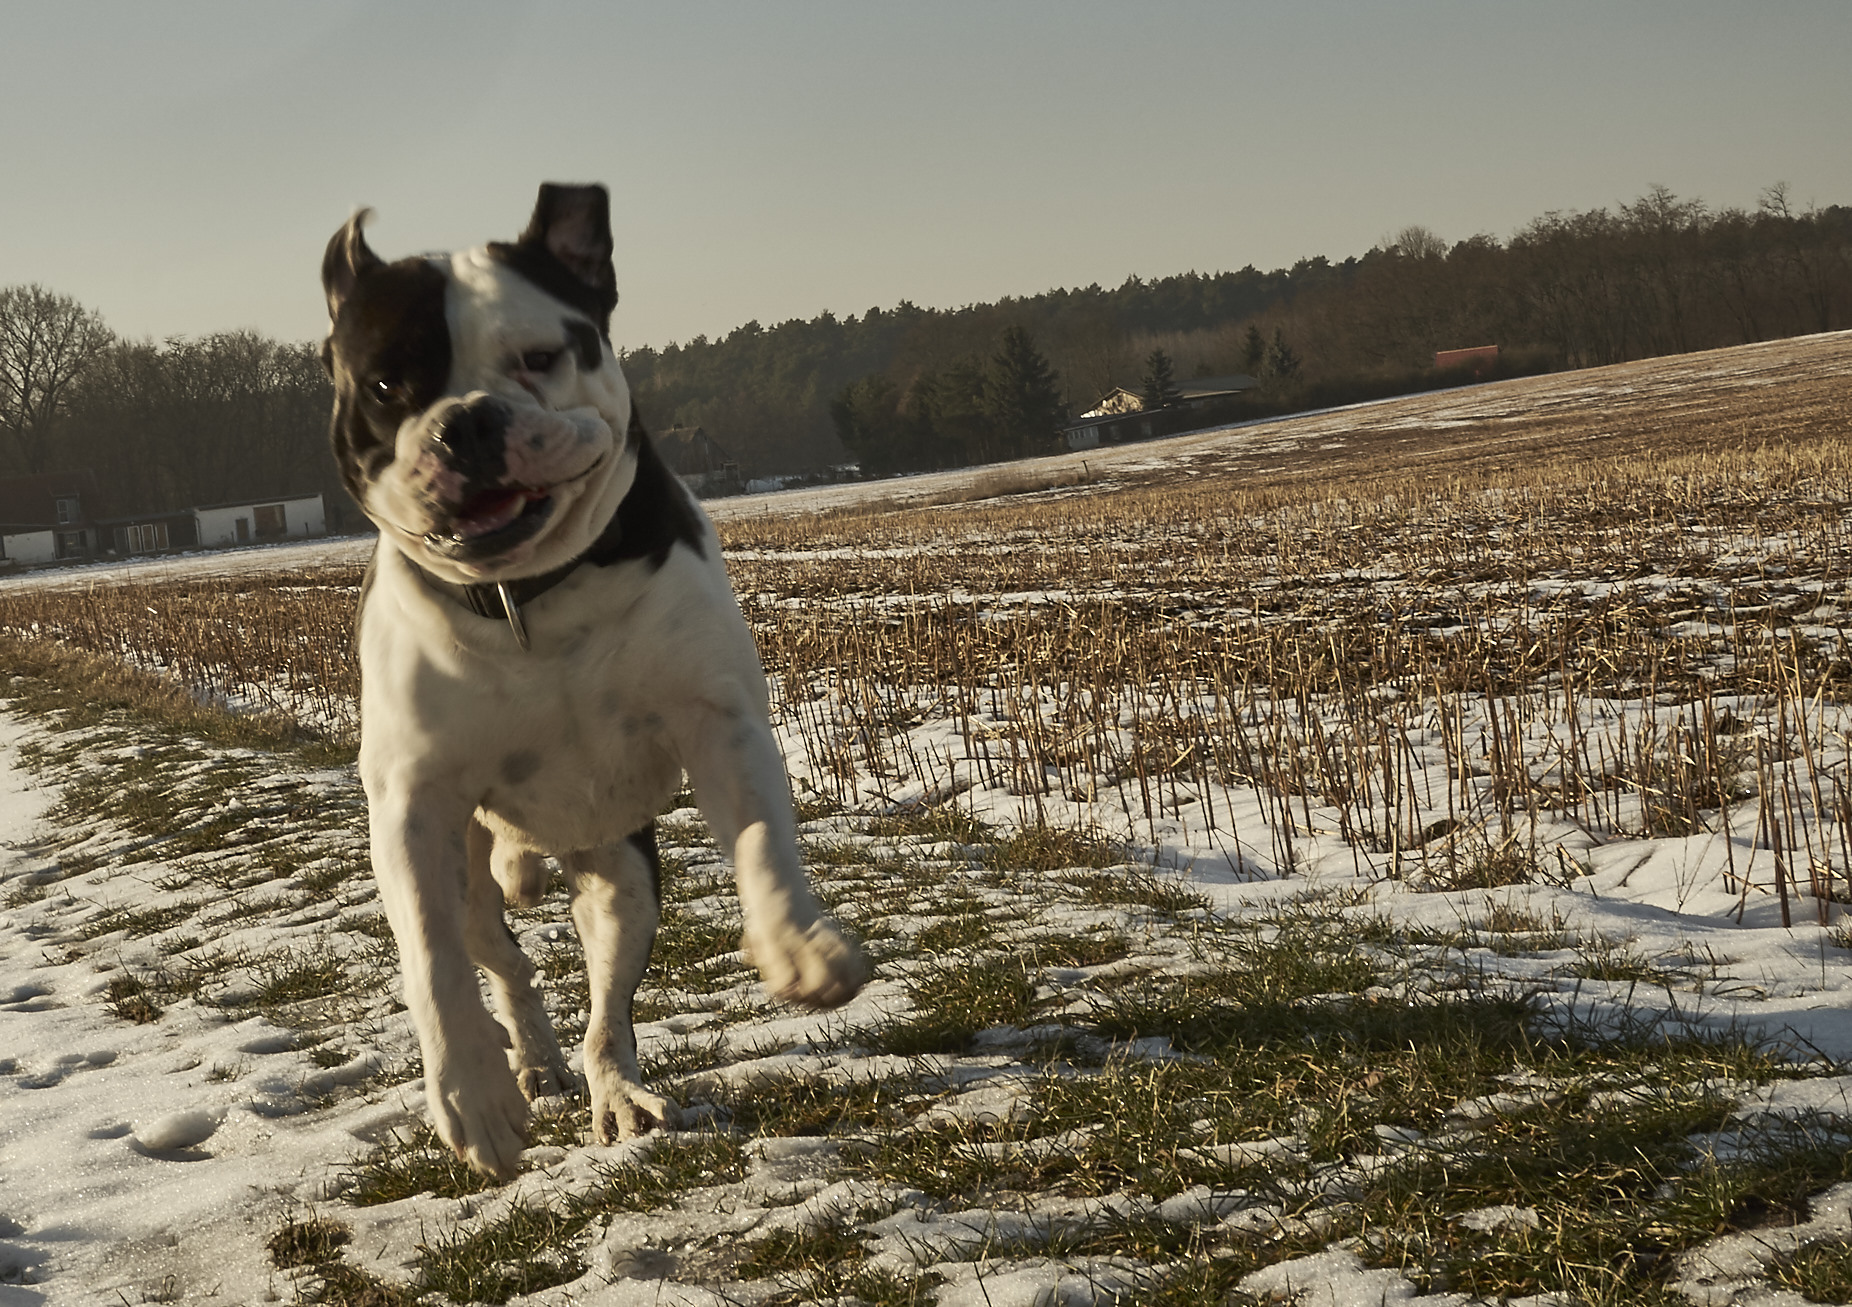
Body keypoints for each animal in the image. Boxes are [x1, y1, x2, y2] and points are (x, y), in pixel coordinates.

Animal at [320, 180, 866, 1170]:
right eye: (384, 385)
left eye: (540, 357)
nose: (467, 419)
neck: (528, 597)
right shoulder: (413, 802)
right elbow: (432, 961)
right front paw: (471, 1094)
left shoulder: (717, 716)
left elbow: (762, 838)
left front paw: (800, 946)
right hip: (474, 870)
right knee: (499, 956)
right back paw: (529, 1062)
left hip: (619, 868)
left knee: (607, 1003)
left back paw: (616, 1094)